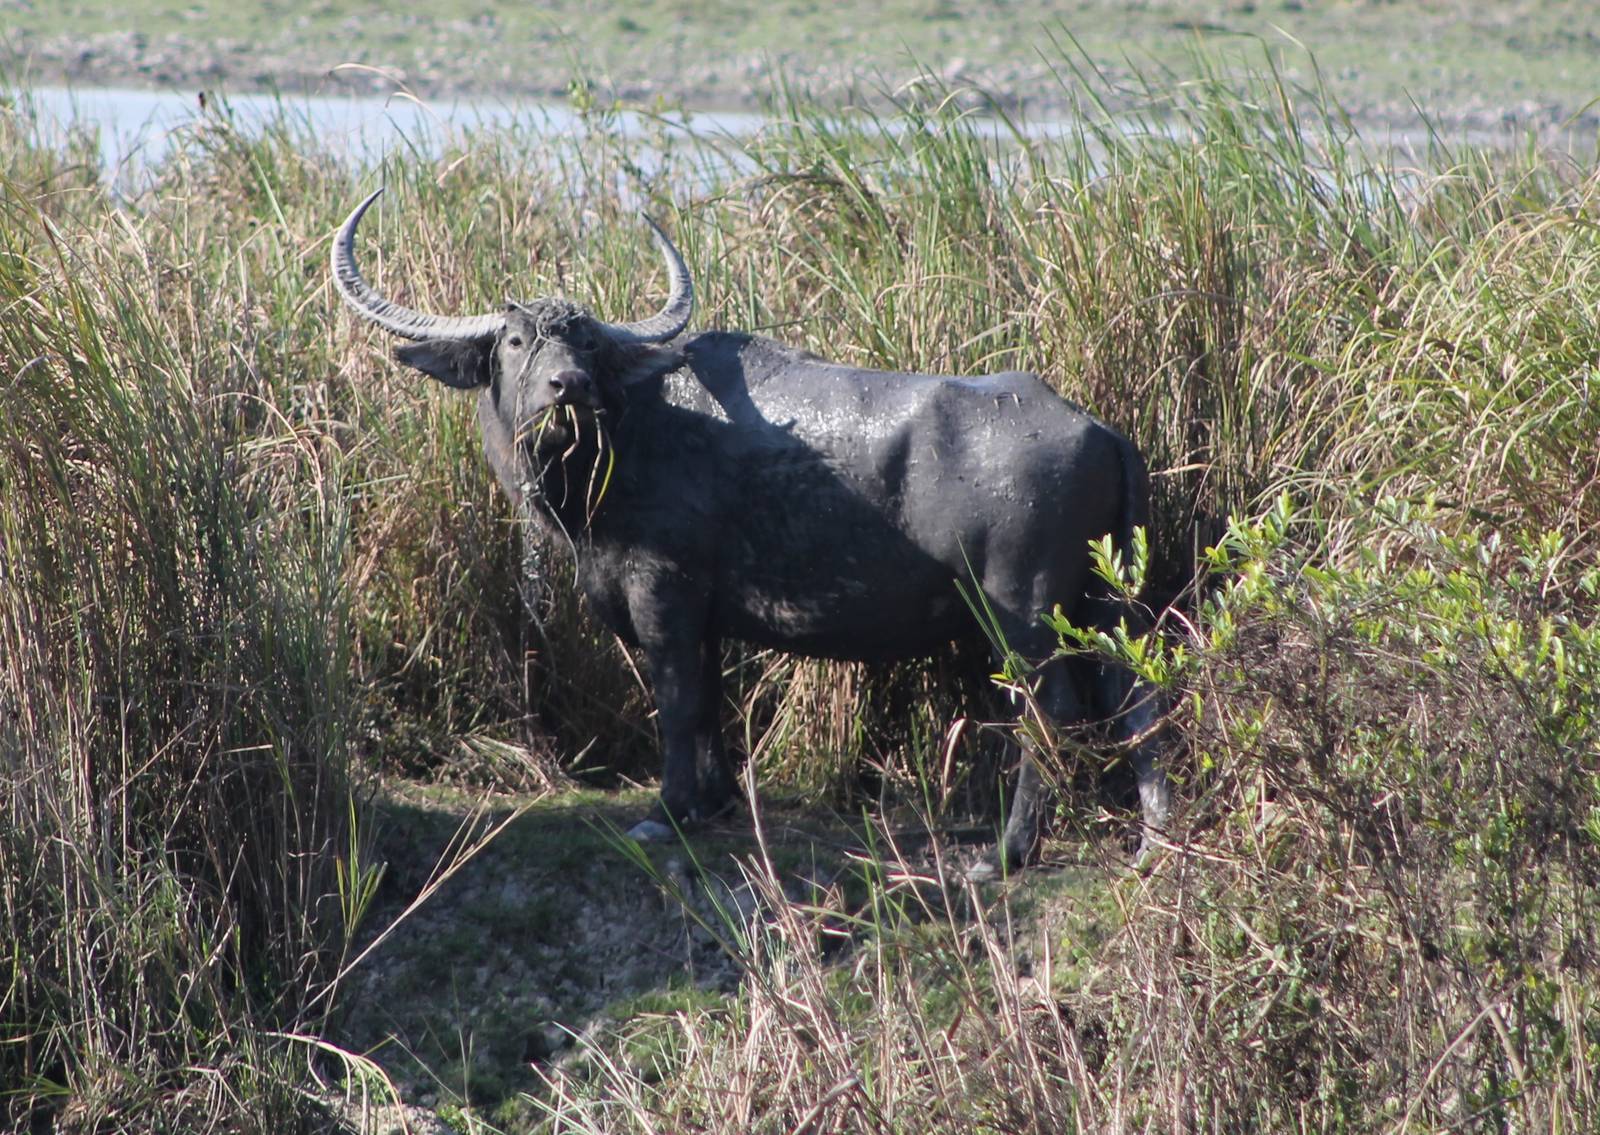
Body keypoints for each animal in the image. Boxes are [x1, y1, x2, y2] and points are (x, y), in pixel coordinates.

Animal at [332, 189, 1169, 874]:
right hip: (1106, 603)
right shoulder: (706, 617)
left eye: (586, 343)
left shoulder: (662, 598)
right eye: (515, 342)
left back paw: (1005, 852)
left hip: (1020, 612)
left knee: (1051, 710)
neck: (630, 437)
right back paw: (1152, 839)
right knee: (1136, 691)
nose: (566, 386)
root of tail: (1097, 428)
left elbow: (678, 702)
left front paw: (668, 811)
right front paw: (717, 802)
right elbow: (713, 704)